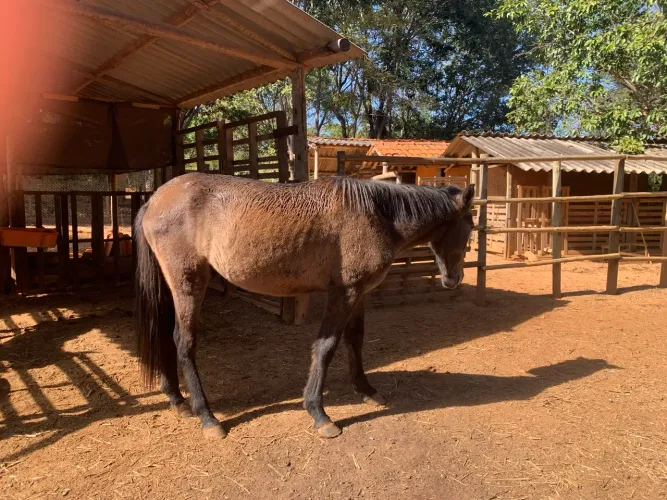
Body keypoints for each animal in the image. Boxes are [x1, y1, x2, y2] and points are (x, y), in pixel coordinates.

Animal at [134, 173, 475, 439]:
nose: (454, 279)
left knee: (165, 335)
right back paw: (207, 417)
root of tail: (154, 200)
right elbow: (326, 347)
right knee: (184, 342)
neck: (376, 215)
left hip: (173, 285)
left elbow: (355, 339)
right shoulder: (344, 293)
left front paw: (365, 389)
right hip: (189, 282)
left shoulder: (360, 293)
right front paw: (319, 413)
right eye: (471, 227)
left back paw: (177, 399)